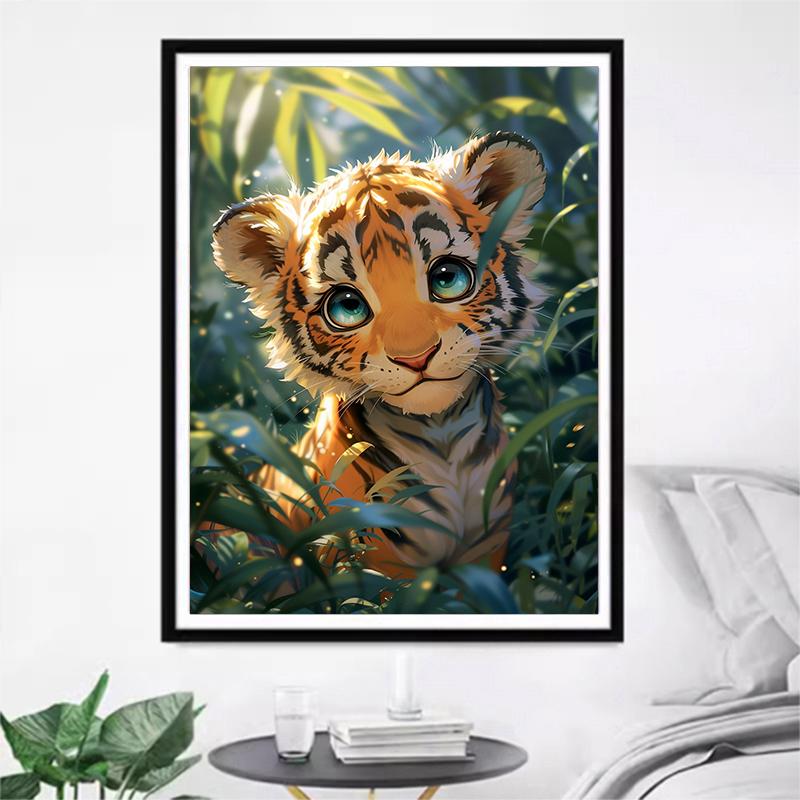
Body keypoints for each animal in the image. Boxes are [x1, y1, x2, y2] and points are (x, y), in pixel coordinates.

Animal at [210, 130, 547, 581]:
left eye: (448, 278)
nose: (416, 357)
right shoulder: (377, 566)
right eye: (348, 306)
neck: (444, 440)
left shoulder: (488, 551)